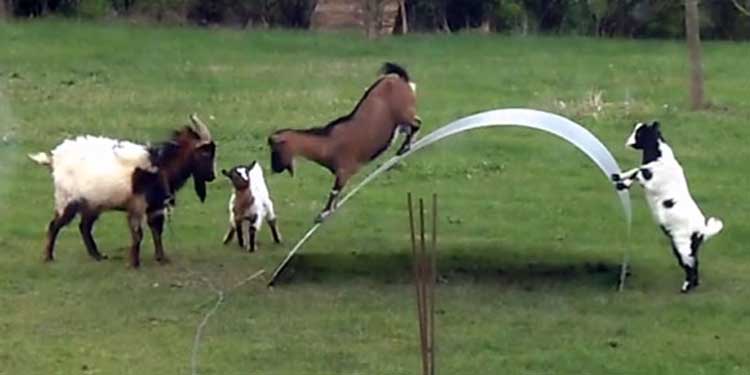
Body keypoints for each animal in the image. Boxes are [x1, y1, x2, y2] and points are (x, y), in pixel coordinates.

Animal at [29, 114, 217, 268]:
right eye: (205, 154)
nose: (211, 176)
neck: (160, 166)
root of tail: (54, 158)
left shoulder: (156, 207)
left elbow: (157, 230)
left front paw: (161, 258)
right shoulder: (137, 204)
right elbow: (138, 233)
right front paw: (133, 263)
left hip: (92, 203)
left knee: (84, 226)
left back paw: (97, 256)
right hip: (68, 200)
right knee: (55, 225)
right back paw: (48, 257)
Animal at [268, 61, 424, 223]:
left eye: (275, 150)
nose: (274, 169)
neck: (328, 142)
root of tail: (401, 79)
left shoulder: (344, 170)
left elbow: (334, 192)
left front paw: (322, 214)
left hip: (403, 113)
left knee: (416, 124)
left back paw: (405, 147)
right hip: (401, 121)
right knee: (413, 125)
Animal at [612, 122, 724, 294]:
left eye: (639, 133)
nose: (627, 142)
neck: (660, 158)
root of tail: (702, 232)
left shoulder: (650, 181)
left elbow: (637, 171)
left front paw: (621, 182)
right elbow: (635, 170)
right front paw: (618, 178)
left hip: (683, 246)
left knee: (691, 265)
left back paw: (686, 288)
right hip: (683, 247)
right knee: (694, 262)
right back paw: (693, 285)